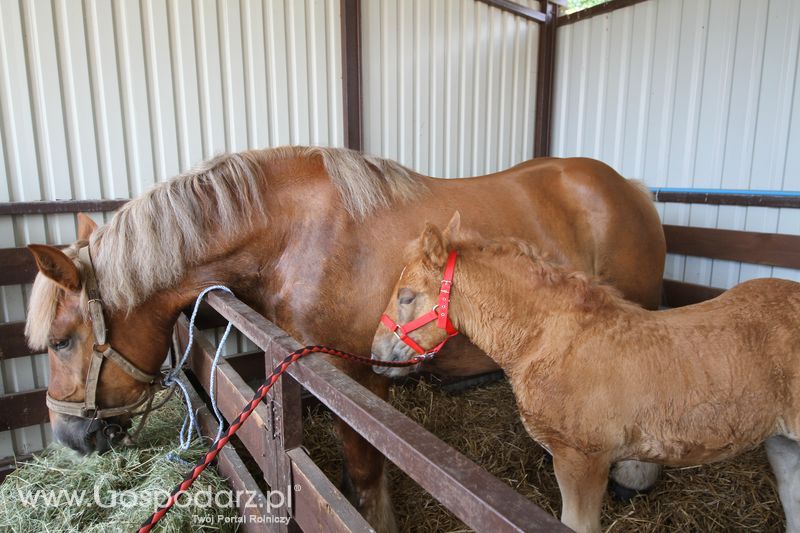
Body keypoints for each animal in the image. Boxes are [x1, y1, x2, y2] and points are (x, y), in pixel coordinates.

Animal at [25, 144, 664, 528]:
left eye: (60, 341)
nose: (70, 436)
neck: (296, 232)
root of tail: (629, 187)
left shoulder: (357, 378)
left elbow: (364, 473)